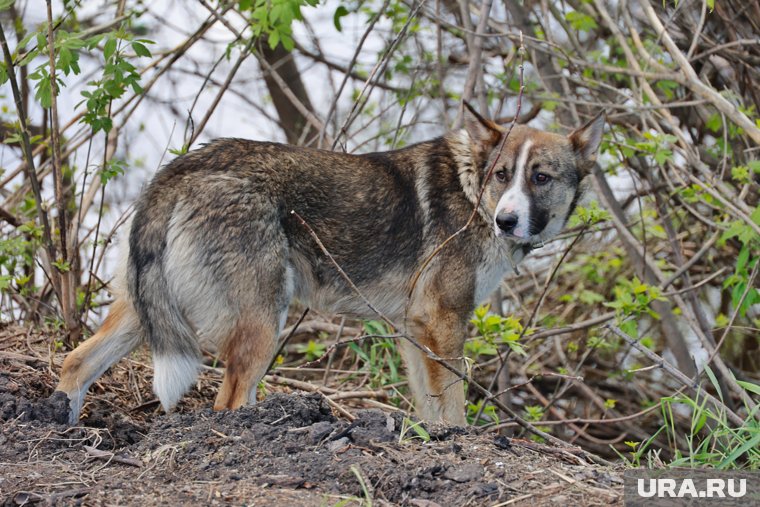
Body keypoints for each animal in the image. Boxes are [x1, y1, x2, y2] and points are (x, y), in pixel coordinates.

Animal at [55, 103, 604, 424]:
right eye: (503, 175)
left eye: (540, 177)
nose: (506, 220)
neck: (472, 192)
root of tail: (185, 167)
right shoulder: (443, 324)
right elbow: (453, 409)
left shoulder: (413, 330)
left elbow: (430, 409)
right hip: (262, 322)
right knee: (227, 402)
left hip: (143, 315)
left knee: (75, 362)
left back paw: (63, 424)